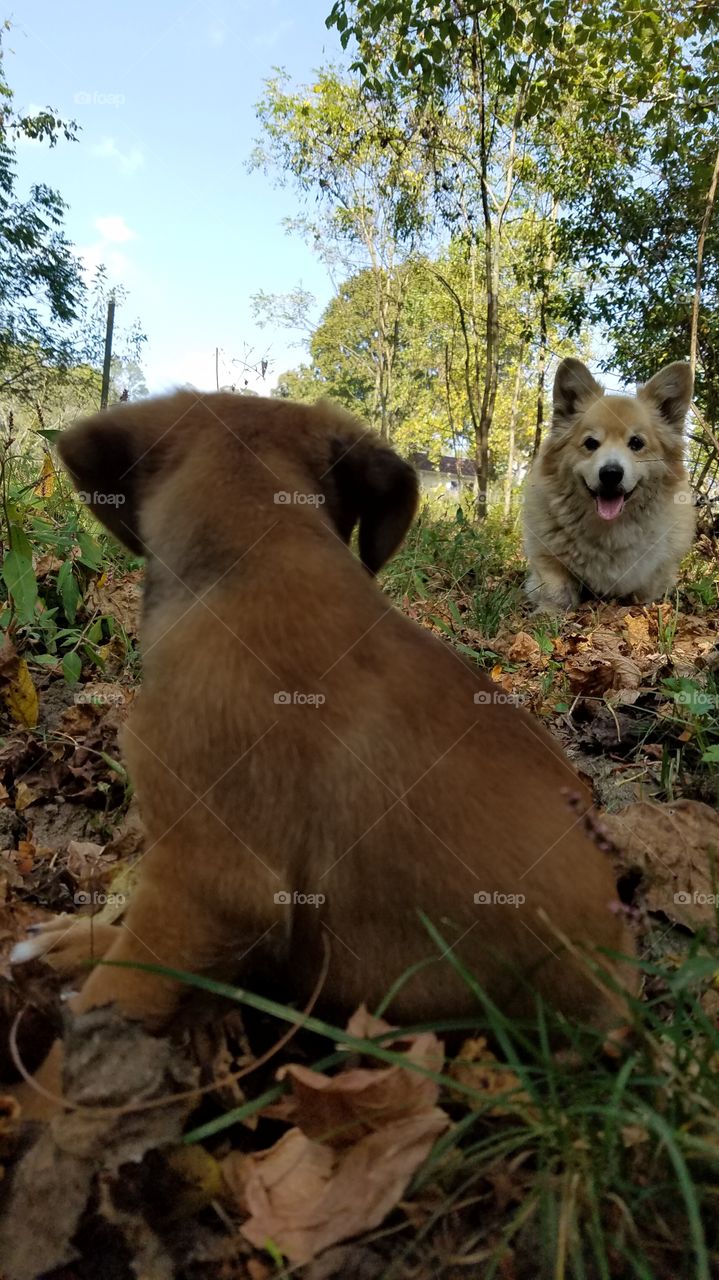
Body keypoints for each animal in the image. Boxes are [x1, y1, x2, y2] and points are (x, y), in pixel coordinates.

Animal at [519, 358, 695, 611]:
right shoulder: (546, 559)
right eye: (591, 443)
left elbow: (646, 590)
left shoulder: (658, 571)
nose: (611, 474)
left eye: (636, 443)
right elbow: (556, 588)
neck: (609, 529)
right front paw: (548, 611)